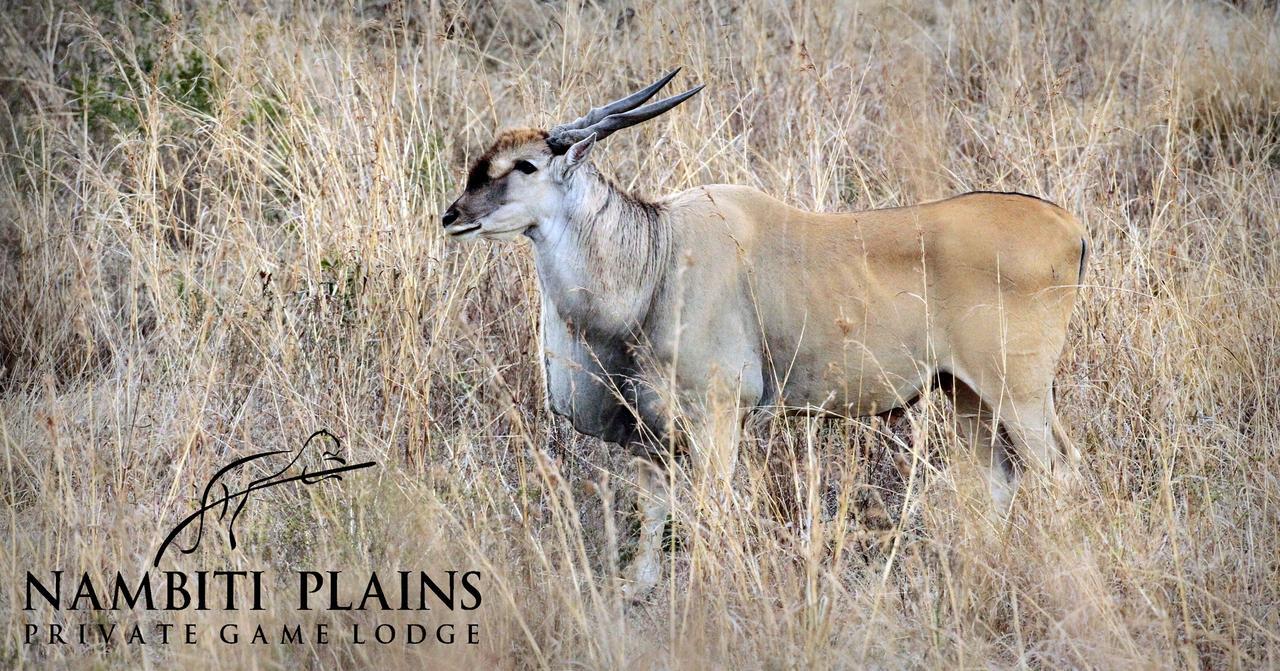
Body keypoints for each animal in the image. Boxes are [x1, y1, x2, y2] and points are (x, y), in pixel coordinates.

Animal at [442, 70, 1090, 596]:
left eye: (525, 166)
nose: (453, 215)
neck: (655, 254)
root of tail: (1069, 227)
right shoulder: (649, 432)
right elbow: (652, 507)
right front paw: (639, 587)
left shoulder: (719, 413)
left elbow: (710, 507)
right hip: (966, 393)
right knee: (999, 479)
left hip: (1018, 392)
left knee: (1058, 470)